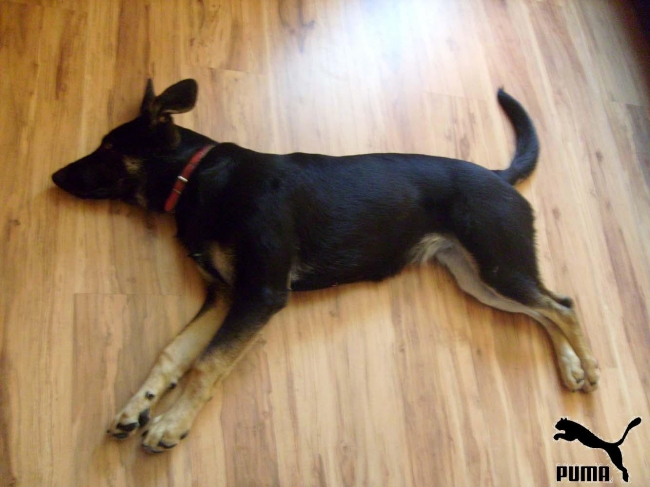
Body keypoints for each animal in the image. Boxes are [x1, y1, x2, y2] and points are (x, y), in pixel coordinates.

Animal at [52, 79, 600, 453]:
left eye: (107, 147)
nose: (54, 176)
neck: (198, 177)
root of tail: (499, 175)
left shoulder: (259, 293)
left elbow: (206, 363)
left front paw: (171, 422)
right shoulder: (225, 296)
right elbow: (172, 354)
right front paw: (136, 409)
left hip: (495, 264)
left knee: (563, 306)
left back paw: (590, 365)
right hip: (479, 277)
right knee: (546, 307)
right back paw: (572, 364)